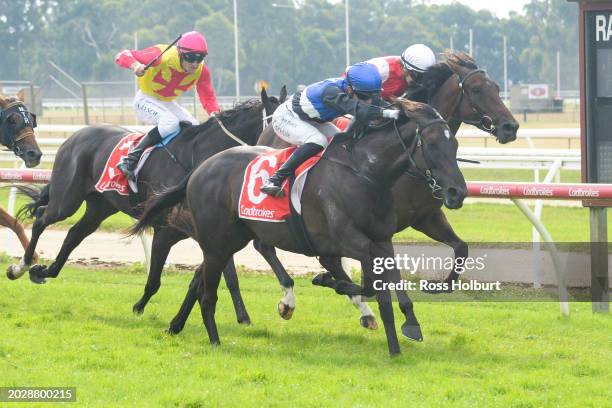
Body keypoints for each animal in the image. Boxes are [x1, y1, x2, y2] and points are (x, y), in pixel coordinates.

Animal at [133, 98, 468, 354]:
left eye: (455, 143)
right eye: (432, 143)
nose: (457, 192)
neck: (364, 173)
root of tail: (199, 168)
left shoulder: (382, 239)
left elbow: (386, 288)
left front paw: (401, 338)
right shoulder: (349, 240)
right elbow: (370, 284)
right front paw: (328, 281)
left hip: (230, 239)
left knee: (203, 279)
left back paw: (176, 325)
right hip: (218, 242)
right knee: (209, 291)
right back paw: (215, 339)